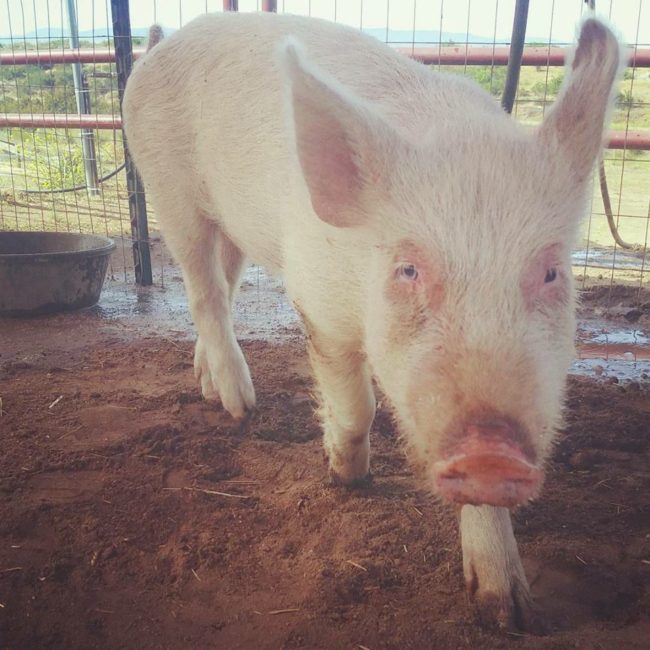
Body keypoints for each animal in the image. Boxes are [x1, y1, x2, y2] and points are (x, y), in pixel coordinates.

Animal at [122, 12, 622, 631]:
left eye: (552, 273)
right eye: (407, 269)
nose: (491, 450)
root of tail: (160, 45)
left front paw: (506, 612)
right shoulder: (317, 302)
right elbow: (356, 402)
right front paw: (347, 476)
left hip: (229, 221)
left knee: (225, 284)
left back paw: (210, 386)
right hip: (169, 191)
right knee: (203, 289)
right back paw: (240, 407)